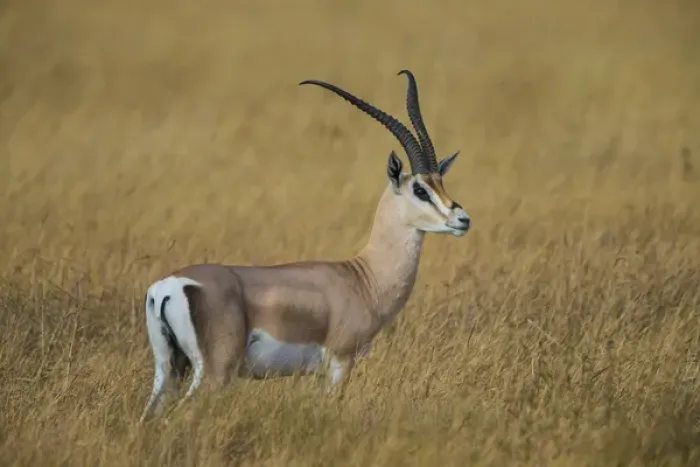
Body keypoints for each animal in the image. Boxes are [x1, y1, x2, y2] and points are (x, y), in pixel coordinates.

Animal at [139, 69, 471, 422]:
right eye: (420, 189)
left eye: (441, 182)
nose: (462, 219)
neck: (364, 278)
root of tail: (167, 286)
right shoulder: (339, 363)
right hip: (213, 372)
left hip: (168, 369)